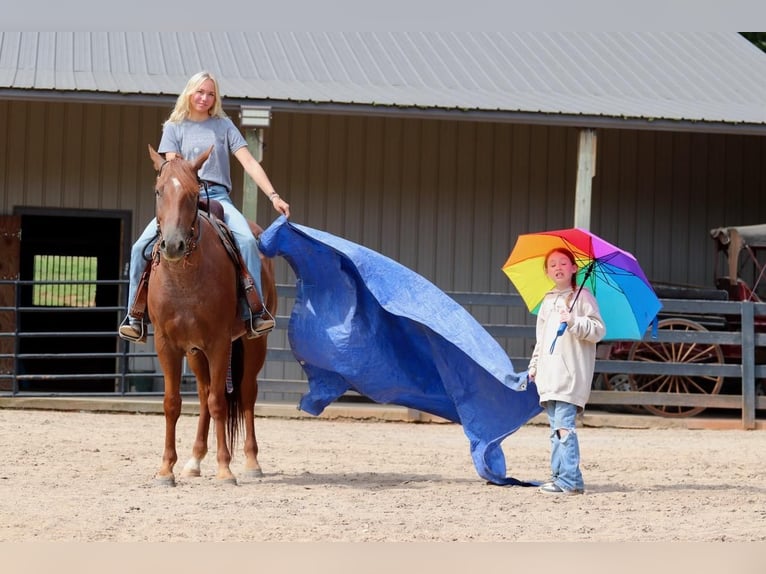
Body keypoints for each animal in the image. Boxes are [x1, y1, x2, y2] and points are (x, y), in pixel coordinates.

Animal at [146, 144, 278, 486]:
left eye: (193, 194)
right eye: (158, 191)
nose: (173, 245)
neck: (185, 279)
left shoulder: (219, 342)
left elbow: (220, 401)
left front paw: (224, 468)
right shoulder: (168, 345)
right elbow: (173, 403)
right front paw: (166, 469)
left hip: (254, 343)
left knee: (245, 393)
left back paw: (251, 462)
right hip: (195, 352)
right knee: (204, 393)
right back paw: (194, 461)